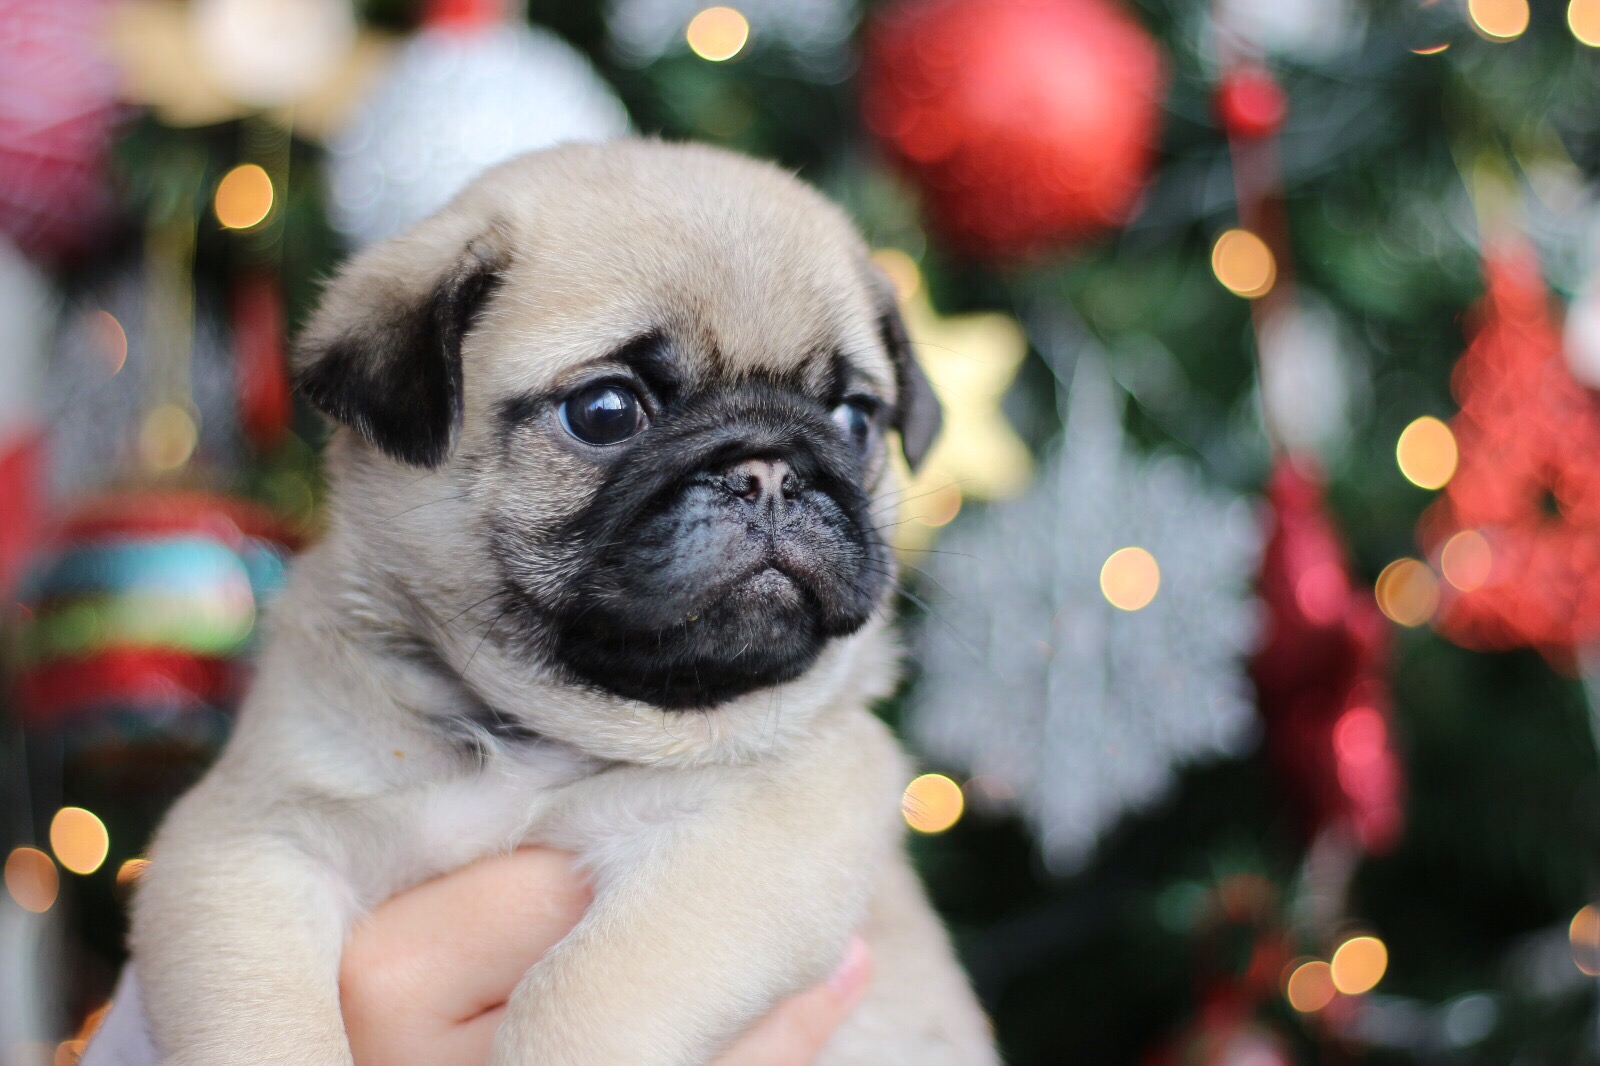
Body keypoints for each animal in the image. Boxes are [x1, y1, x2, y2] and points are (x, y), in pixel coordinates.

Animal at [131, 140, 992, 1062]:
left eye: (856, 418)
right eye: (605, 411)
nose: (771, 469)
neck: (537, 730)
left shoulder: (758, 842)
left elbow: (580, 995)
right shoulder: (253, 845)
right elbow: (261, 1024)